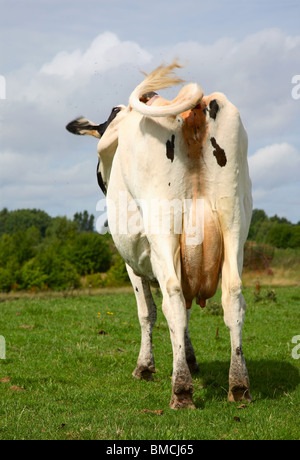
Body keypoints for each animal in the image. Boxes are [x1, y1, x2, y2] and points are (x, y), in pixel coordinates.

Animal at [66, 62, 253, 410]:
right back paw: (238, 385)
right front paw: (190, 358)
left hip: (163, 224)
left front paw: (145, 366)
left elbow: (147, 312)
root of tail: (195, 107)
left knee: (173, 298)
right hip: (234, 221)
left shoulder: (133, 262)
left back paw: (181, 390)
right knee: (233, 295)